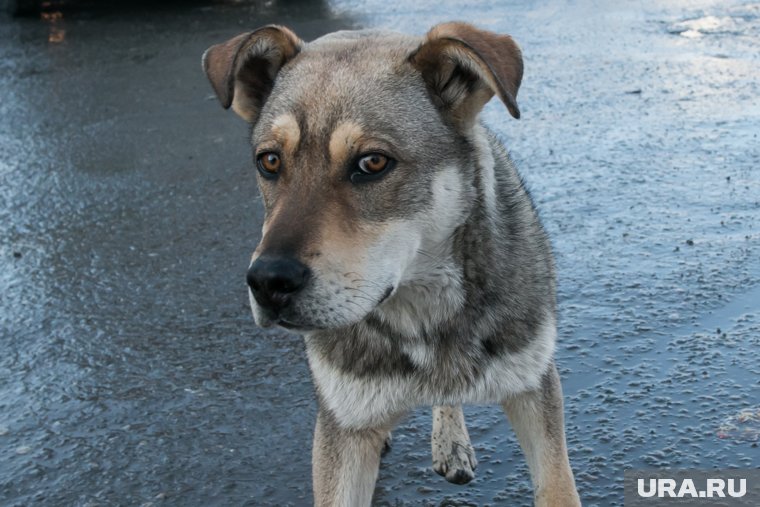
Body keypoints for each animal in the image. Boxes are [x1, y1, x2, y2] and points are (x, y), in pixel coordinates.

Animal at [203, 21, 580, 506]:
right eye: (269, 161)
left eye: (373, 162)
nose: (267, 282)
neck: (419, 310)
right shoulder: (342, 436)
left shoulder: (534, 388)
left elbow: (558, 484)